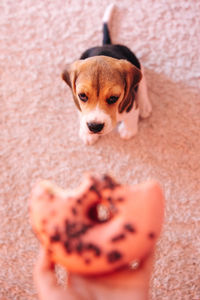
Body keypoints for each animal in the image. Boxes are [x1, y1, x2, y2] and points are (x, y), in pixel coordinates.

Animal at [62, 4, 152, 145]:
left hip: (134, 60)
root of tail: (107, 45)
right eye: (82, 96)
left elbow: (131, 116)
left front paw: (128, 130)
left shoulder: (130, 105)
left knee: (142, 79)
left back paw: (144, 105)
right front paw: (86, 133)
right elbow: (80, 113)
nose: (94, 127)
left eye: (113, 98)